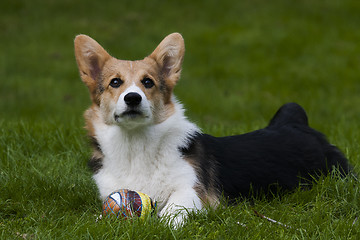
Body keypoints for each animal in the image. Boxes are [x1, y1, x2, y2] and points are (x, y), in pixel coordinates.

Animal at [73, 32, 352, 227]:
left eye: (148, 82)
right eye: (115, 82)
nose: (133, 98)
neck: (136, 144)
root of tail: (295, 122)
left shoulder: (193, 191)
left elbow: (173, 208)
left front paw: (163, 224)